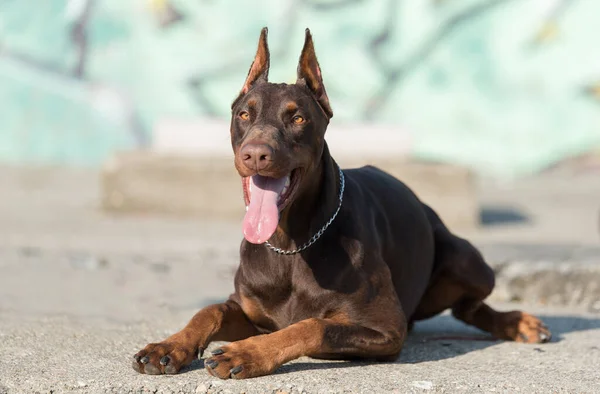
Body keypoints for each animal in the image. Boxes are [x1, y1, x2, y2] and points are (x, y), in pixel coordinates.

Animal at [134, 27, 552, 378]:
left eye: (298, 118)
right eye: (244, 114)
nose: (255, 154)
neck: (290, 244)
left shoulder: (386, 327)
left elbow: (311, 326)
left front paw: (247, 353)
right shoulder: (251, 311)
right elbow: (211, 309)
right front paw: (169, 346)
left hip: (468, 260)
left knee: (469, 305)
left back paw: (518, 322)